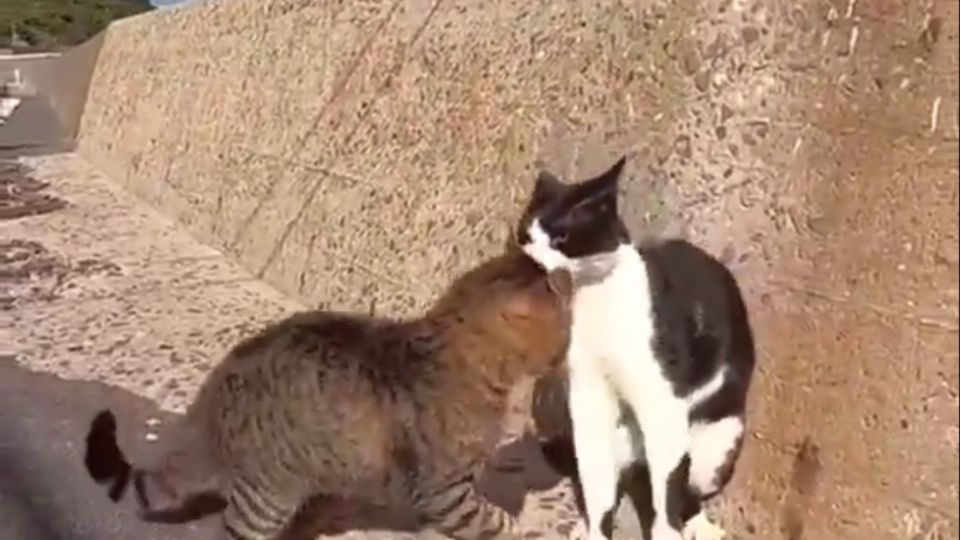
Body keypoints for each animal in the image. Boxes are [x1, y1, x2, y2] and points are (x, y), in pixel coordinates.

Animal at [82, 253, 568, 540]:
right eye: (564, 333)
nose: (564, 358)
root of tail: (205, 412)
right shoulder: (443, 491)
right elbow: (492, 521)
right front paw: (524, 529)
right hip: (266, 499)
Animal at [512, 157, 752, 540]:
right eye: (525, 237)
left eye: (562, 237)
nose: (531, 260)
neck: (596, 302)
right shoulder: (588, 400)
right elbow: (597, 487)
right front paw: (595, 531)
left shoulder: (662, 400)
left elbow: (668, 488)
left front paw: (666, 531)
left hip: (716, 444)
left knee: (689, 487)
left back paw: (699, 525)